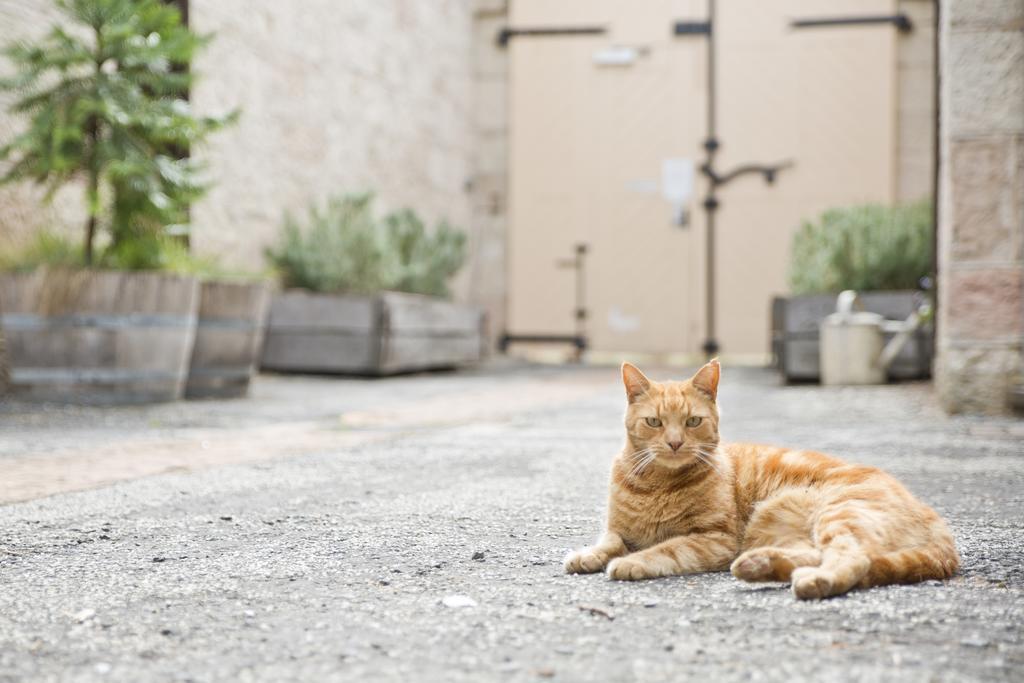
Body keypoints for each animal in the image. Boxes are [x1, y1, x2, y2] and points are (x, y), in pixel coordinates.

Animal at [569, 360, 958, 602]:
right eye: (654, 422)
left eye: (693, 421)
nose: (675, 443)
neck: (657, 484)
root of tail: (933, 517)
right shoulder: (620, 530)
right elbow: (608, 541)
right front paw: (586, 556)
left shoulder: (713, 539)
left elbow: (664, 549)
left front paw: (631, 562)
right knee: (818, 555)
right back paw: (759, 566)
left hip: (840, 514)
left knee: (855, 560)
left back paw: (811, 581)